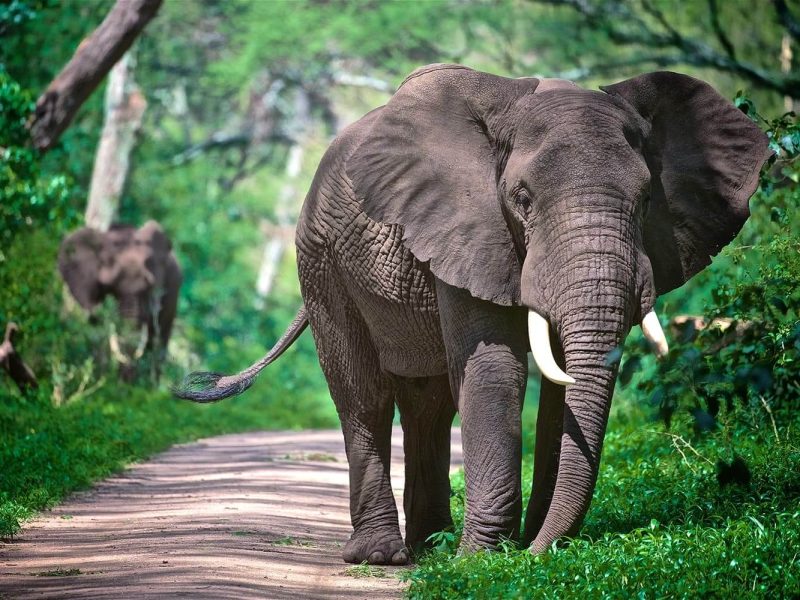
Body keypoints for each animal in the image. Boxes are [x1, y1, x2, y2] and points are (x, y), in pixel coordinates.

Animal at [175, 64, 770, 564]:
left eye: (647, 200)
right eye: (522, 199)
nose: (539, 553)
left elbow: (555, 389)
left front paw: (509, 550)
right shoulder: (465, 227)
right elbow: (494, 372)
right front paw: (484, 561)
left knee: (428, 403)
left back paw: (431, 546)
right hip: (320, 259)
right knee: (364, 396)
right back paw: (383, 556)